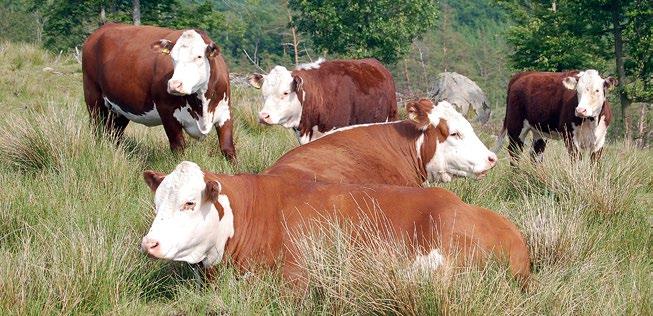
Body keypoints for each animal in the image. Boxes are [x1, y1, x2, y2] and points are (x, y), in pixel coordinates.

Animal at [81, 23, 234, 160]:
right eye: (172, 57)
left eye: (199, 57)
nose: (174, 85)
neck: (201, 105)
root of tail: (104, 27)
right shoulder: (166, 111)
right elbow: (178, 147)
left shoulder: (225, 112)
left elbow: (228, 149)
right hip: (93, 99)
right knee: (97, 130)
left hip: (119, 109)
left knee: (113, 134)